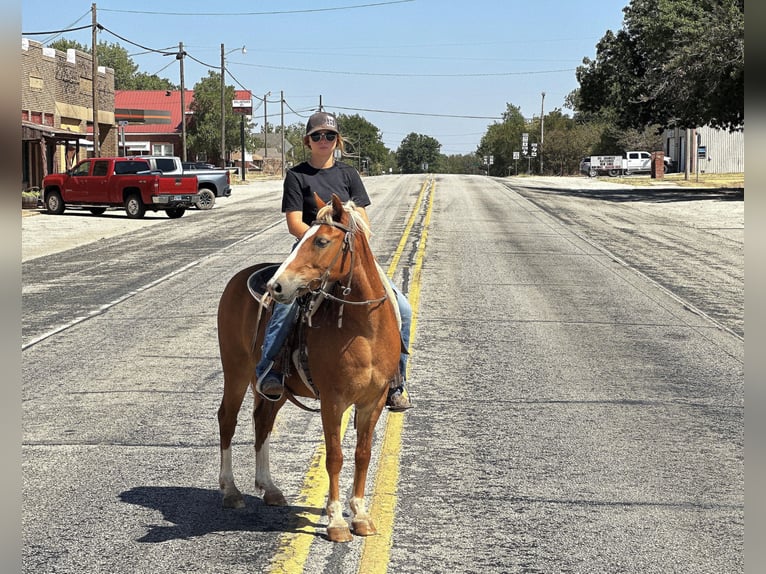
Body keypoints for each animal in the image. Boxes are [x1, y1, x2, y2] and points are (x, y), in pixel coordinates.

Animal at [216, 194, 402, 544]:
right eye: (305, 236)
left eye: (321, 241)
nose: (276, 286)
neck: (364, 330)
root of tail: (238, 278)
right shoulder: (333, 401)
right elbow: (335, 457)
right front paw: (336, 520)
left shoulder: (373, 401)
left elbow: (362, 454)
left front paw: (360, 515)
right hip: (234, 372)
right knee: (227, 420)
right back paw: (230, 490)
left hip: (275, 389)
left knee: (262, 421)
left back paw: (270, 488)